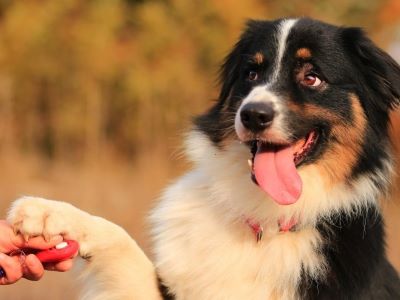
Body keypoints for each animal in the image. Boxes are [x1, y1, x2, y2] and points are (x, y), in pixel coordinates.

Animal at [5, 18, 400, 300]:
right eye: (251, 72)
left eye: (312, 77)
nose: (253, 115)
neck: (267, 222)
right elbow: (120, 239)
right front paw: (48, 213)